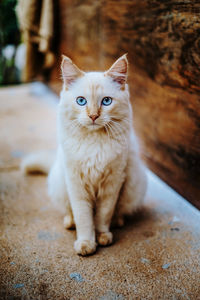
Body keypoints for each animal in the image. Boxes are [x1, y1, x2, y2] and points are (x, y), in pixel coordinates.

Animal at [22, 54, 147, 255]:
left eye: (106, 101)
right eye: (81, 101)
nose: (93, 116)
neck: (94, 143)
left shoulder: (112, 183)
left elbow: (103, 215)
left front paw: (103, 237)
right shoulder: (76, 184)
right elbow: (84, 218)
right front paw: (86, 243)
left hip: (134, 185)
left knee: (119, 211)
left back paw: (117, 222)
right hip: (60, 183)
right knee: (70, 212)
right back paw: (69, 223)